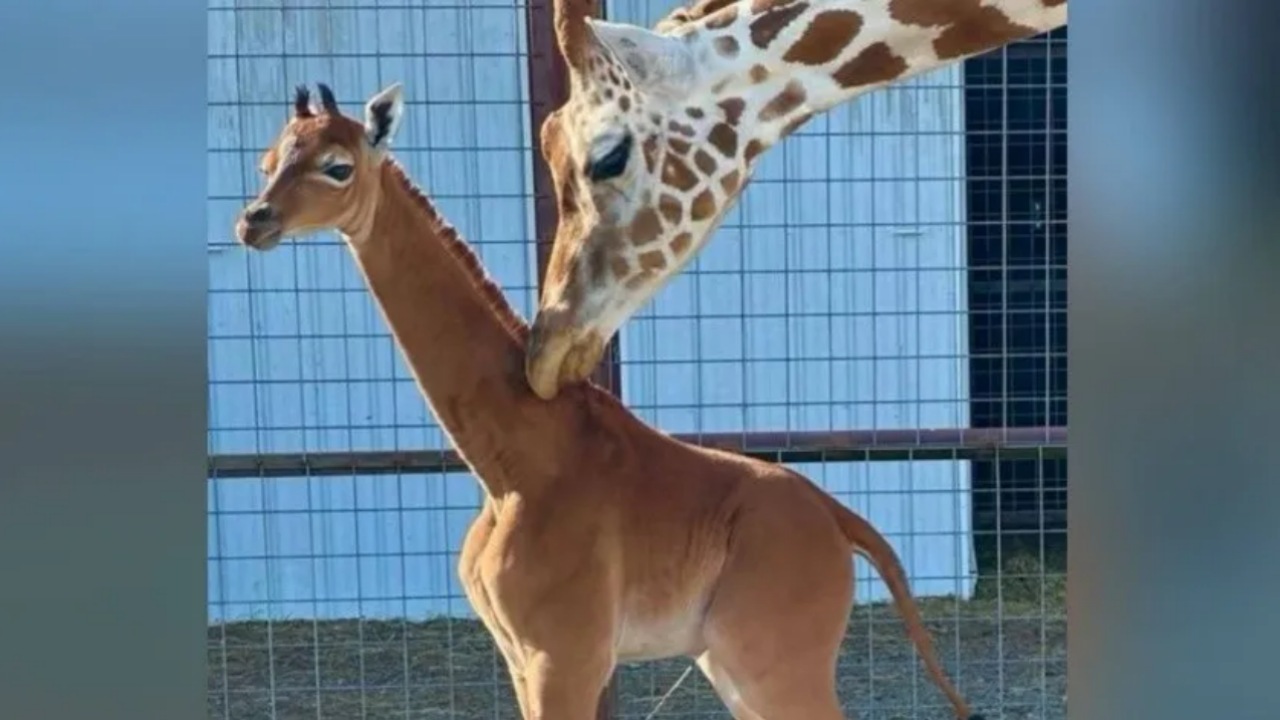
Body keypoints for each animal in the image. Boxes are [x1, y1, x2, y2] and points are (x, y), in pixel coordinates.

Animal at [238, 81, 977, 712]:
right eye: (268, 160)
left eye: (337, 167)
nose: (254, 222)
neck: (510, 462)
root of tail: (839, 521)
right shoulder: (521, 657)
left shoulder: (564, 654)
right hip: (730, 663)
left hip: (772, 658)